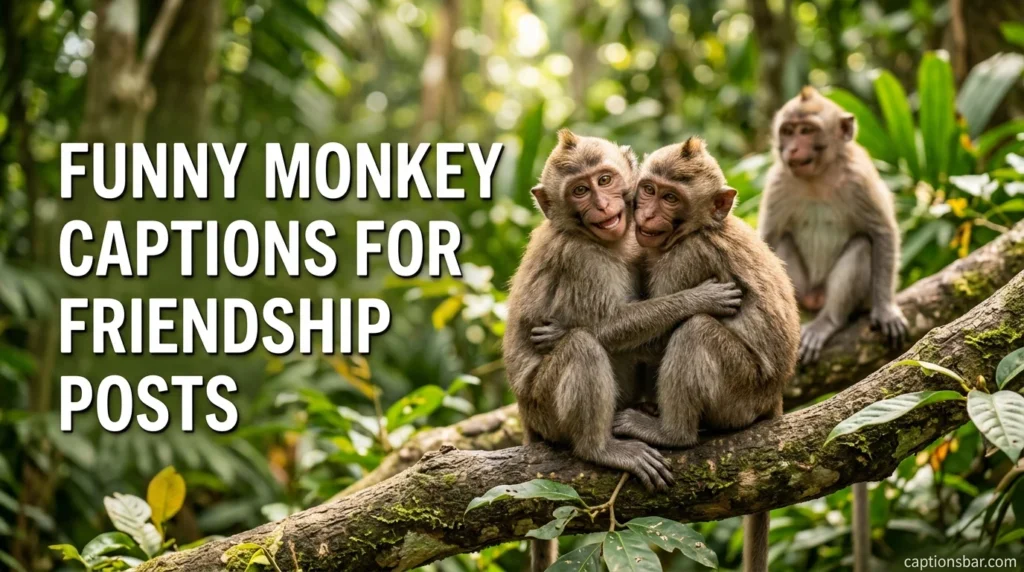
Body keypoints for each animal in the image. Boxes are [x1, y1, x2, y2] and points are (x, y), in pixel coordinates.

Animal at [505, 130, 744, 571]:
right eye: (579, 190)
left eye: (604, 180)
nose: (601, 205)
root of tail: (526, 414)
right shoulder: (580, 258)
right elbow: (605, 327)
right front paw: (697, 298)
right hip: (541, 404)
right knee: (583, 346)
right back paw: (602, 448)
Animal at [759, 86, 909, 572]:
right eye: (788, 130)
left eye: (808, 130)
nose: (792, 149)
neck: (817, 178)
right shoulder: (777, 182)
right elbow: (766, 242)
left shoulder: (860, 178)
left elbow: (881, 233)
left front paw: (886, 308)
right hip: (803, 293)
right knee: (783, 248)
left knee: (861, 246)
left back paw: (827, 324)